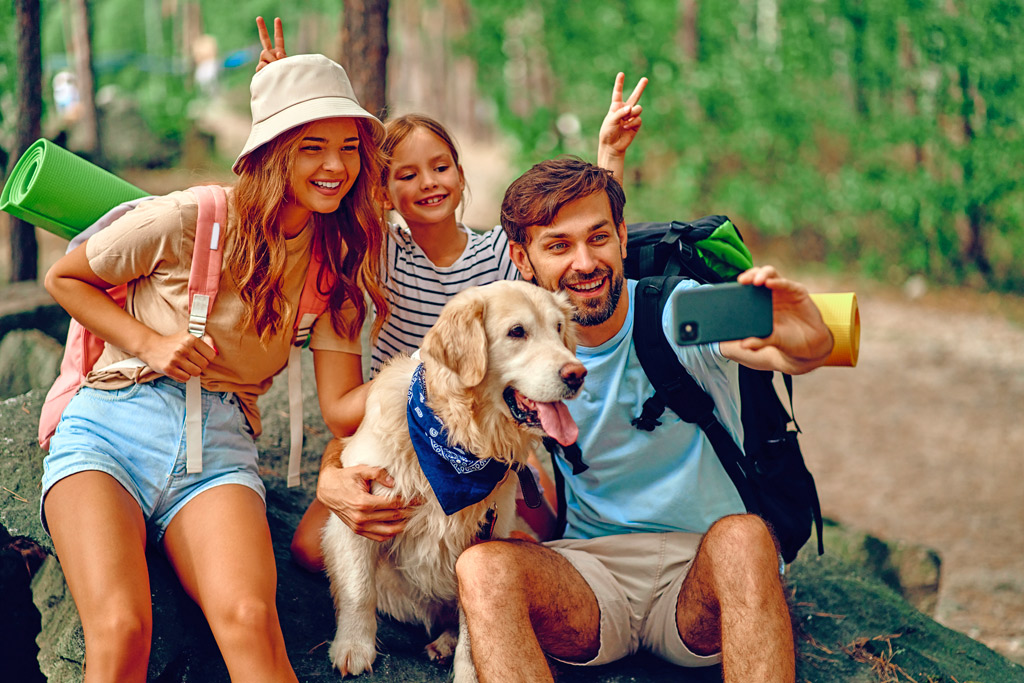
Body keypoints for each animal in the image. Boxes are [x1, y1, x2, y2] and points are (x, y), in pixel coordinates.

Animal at [323, 280, 589, 679]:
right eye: (517, 332)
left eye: (559, 328)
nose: (577, 374)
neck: (458, 440)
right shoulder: (360, 509)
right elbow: (359, 588)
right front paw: (353, 647)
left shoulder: (482, 542)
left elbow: (471, 627)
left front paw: (468, 672)